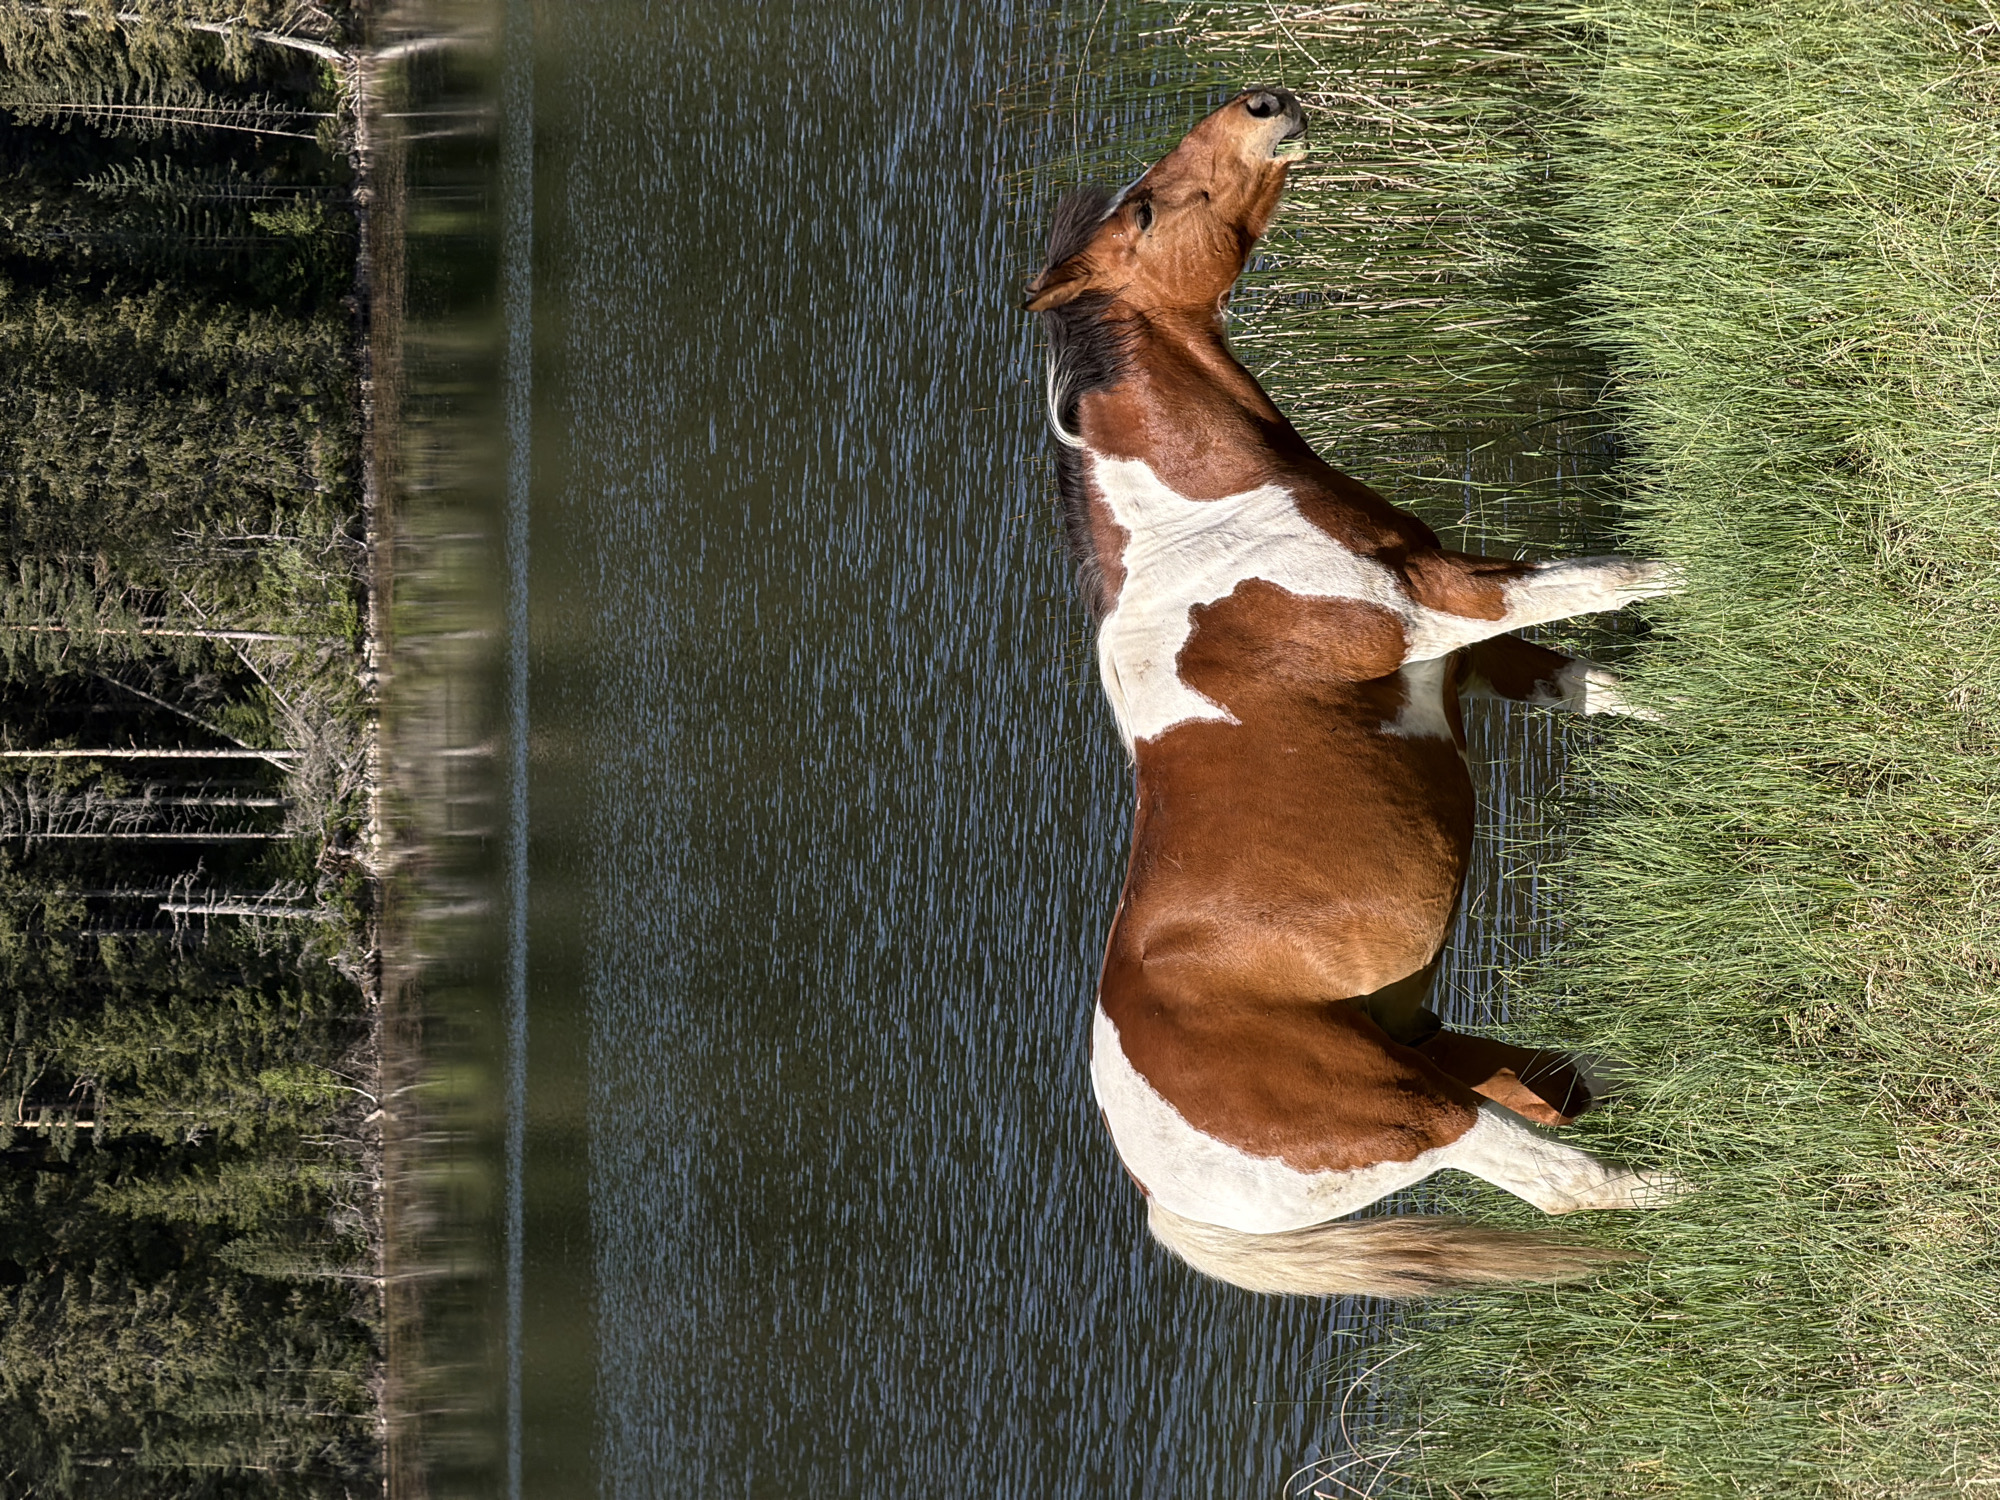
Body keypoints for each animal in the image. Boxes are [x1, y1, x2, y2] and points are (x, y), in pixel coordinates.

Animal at [1025, 87, 1681, 1298]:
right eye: (1144, 210)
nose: (1264, 102)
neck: (1210, 529)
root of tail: (1163, 1189)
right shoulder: (1454, 606)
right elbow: (1622, 577)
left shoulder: (1468, 654)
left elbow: (1606, 683)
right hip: (1416, 1115)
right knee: (1566, 1179)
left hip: (1428, 1047)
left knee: (1556, 1097)